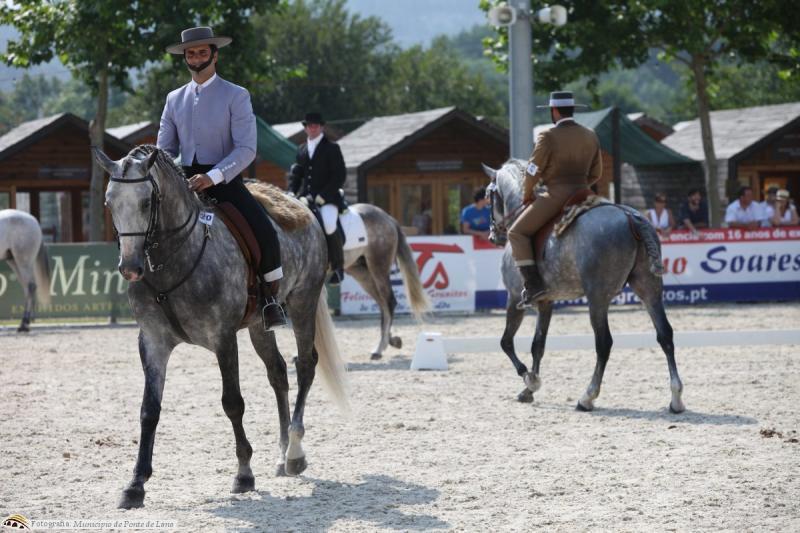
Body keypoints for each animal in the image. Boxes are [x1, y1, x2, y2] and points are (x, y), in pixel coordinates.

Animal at [94, 145, 349, 509]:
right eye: (109, 202)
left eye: (146, 202)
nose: (130, 267)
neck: (173, 261)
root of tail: (302, 207)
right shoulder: (153, 342)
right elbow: (149, 410)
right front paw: (135, 484)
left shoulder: (223, 338)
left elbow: (232, 403)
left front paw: (244, 474)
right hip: (260, 325)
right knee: (278, 373)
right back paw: (281, 452)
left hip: (303, 303)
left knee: (305, 366)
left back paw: (295, 453)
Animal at [340, 204, 430, 359]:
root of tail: (388, 218)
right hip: (361, 272)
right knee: (382, 303)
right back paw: (391, 341)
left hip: (378, 268)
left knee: (389, 302)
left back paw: (380, 348)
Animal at [482, 160, 685, 413]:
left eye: (488, 196)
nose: (493, 236)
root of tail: (629, 216)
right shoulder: (545, 301)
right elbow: (538, 344)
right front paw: (529, 390)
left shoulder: (514, 297)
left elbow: (506, 341)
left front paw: (528, 378)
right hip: (649, 289)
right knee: (665, 334)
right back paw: (676, 399)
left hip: (598, 298)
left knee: (604, 343)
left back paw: (587, 398)